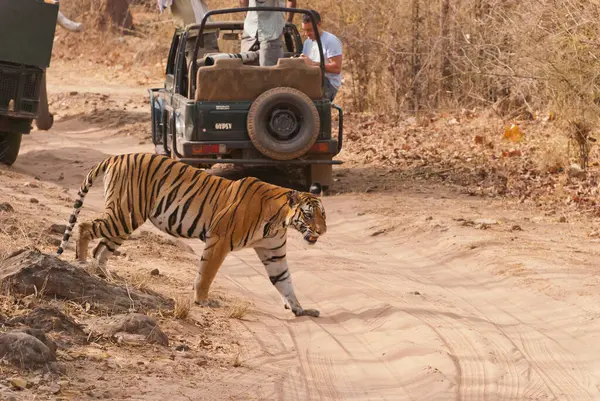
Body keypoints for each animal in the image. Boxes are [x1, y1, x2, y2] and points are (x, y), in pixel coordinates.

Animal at [56, 152, 328, 318]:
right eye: (308, 215)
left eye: (323, 215)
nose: (322, 231)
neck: (279, 221)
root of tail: (117, 156)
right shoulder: (219, 240)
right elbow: (206, 273)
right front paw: (202, 301)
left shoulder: (273, 252)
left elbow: (285, 281)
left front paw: (300, 309)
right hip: (125, 213)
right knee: (85, 227)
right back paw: (81, 261)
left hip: (125, 221)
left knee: (101, 248)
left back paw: (103, 274)